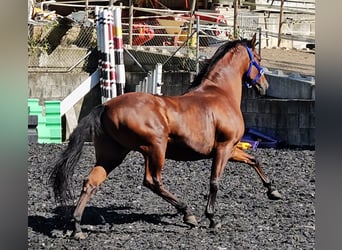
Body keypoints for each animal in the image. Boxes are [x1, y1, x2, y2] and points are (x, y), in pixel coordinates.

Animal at [49, 34, 282, 239]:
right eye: (258, 59)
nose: (265, 86)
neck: (220, 94)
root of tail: (105, 106)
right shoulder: (223, 148)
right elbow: (215, 181)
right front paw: (212, 218)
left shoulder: (232, 148)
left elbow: (253, 160)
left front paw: (273, 192)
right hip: (155, 148)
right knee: (152, 181)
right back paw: (188, 214)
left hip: (113, 155)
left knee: (91, 182)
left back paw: (77, 226)